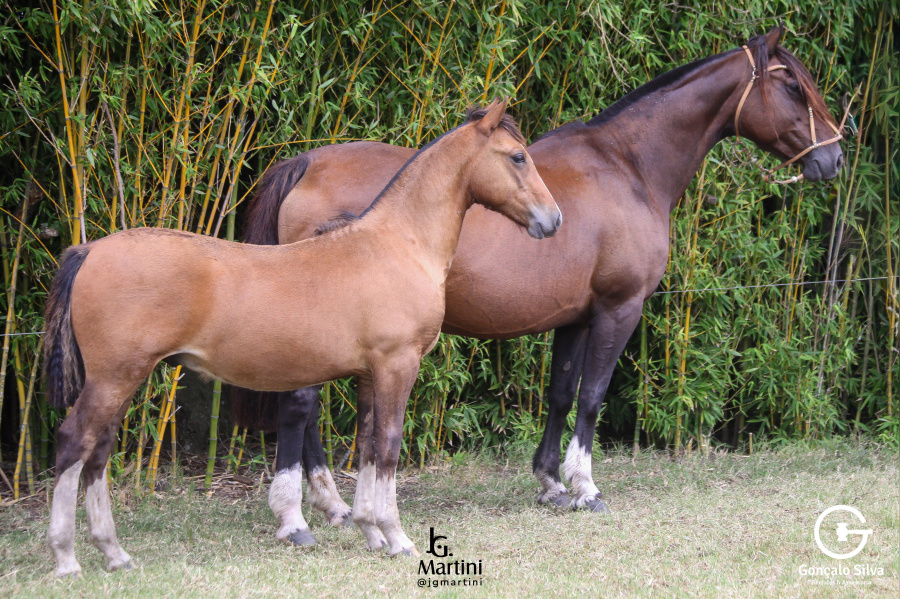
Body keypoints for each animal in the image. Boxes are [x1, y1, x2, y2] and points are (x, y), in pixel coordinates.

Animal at [42, 99, 561, 576]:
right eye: (518, 156)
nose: (552, 220)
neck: (397, 243)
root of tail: (89, 251)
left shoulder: (369, 374)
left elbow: (367, 443)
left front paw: (371, 531)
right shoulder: (397, 365)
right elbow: (389, 445)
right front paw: (397, 536)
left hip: (121, 379)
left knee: (98, 451)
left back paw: (114, 553)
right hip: (115, 377)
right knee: (73, 442)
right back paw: (67, 558)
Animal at [231, 26, 845, 544]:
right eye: (793, 84)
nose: (835, 156)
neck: (628, 168)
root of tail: (306, 163)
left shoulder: (575, 317)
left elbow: (560, 394)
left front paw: (551, 482)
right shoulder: (619, 309)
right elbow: (593, 397)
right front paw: (585, 488)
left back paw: (331, 505)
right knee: (299, 406)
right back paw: (296, 517)